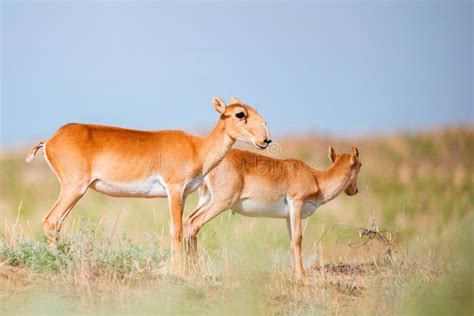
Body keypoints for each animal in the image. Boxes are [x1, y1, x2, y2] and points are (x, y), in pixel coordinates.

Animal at [25, 95, 270, 256]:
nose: (265, 140)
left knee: (56, 222)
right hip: (74, 189)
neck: (197, 147)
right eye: (240, 114)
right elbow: (176, 231)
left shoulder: (184, 195)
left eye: (255, 111)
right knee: (51, 220)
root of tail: (51, 140)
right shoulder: (174, 190)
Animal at [183, 146, 362, 276]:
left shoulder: (288, 217)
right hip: (221, 203)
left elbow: (291, 240)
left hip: (206, 201)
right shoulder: (296, 204)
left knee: (187, 222)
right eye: (360, 164)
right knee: (193, 224)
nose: (354, 191)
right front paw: (301, 274)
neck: (316, 178)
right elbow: (298, 239)